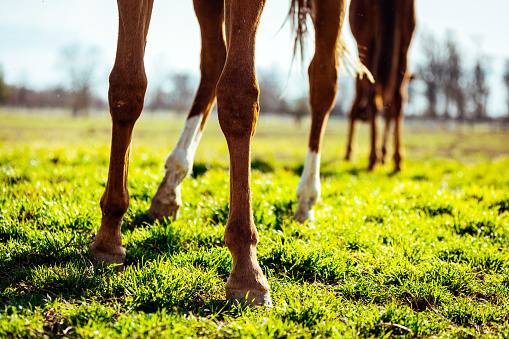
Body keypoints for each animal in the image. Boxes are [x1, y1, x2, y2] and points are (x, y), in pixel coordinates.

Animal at [90, 0, 358, 308]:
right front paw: (108, 236)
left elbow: (238, 96)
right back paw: (170, 184)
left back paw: (306, 199)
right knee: (215, 59)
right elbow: (126, 85)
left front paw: (247, 271)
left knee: (323, 81)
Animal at [344, 0, 414, 173]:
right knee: (397, 100)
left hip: (367, 44)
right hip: (404, 46)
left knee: (373, 97)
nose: (363, 115)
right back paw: (397, 160)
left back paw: (373, 159)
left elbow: (353, 109)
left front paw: (349, 153)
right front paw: (385, 155)